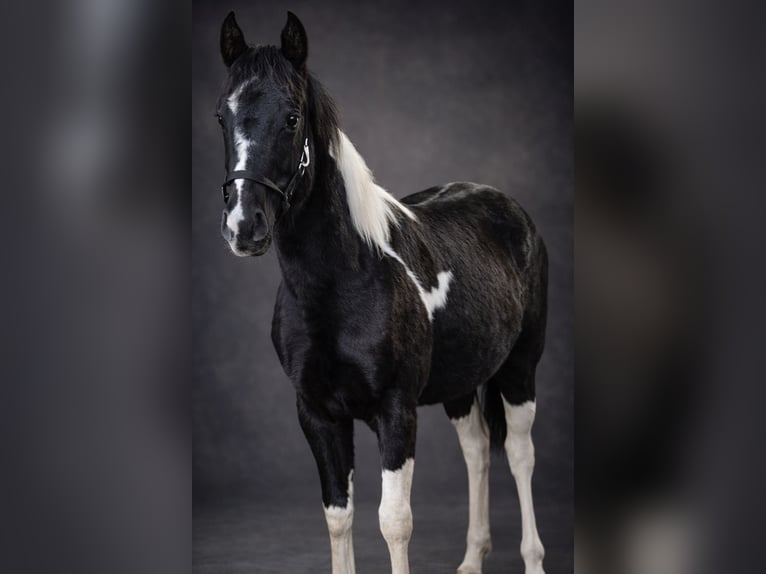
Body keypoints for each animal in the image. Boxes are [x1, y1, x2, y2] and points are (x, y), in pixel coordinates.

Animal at [214, 11, 548, 574]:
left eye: (292, 118)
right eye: (222, 116)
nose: (244, 226)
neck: (342, 285)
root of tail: (507, 206)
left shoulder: (396, 412)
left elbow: (394, 521)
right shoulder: (317, 414)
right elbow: (338, 517)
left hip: (520, 369)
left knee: (522, 455)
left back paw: (533, 558)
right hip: (460, 383)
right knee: (478, 450)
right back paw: (471, 560)